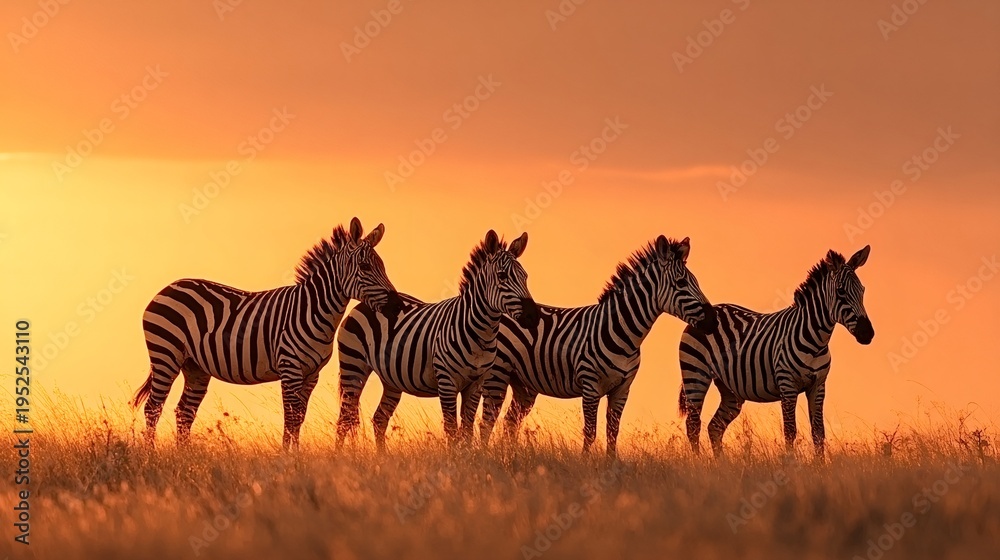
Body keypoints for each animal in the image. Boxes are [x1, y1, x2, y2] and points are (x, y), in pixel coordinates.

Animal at [131, 218, 403, 449]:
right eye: (365, 267)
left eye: (383, 266)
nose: (397, 306)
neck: (311, 310)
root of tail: (168, 287)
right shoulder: (290, 368)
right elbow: (290, 418)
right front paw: (288, 458)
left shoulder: (311, 374)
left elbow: (299, 418)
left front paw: (295, 455)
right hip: (165, 354)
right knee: (153, 408)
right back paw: (151, 455)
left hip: (195, 366)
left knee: (184, 412)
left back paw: (185, 457)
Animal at [336, 230, 540, 450]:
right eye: (502, 276)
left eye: (525, 277)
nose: (533, 317)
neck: (481, 334)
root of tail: (363, 304)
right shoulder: (447, 381)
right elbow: (451, 429)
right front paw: (454, 457)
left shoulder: (476, 384)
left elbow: (467, 429)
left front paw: (469, 457)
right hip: (353, 366)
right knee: (344, 419)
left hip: (391, 380)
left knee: (379, 419)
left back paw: (382, 457)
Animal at [479, 236, 718, 458]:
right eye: (681, 282)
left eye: (695, 281)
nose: (713, 320)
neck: (622, 332)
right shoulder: (591, 386)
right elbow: (590, 432)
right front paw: (586, 464)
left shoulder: (622, 390)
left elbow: (613, 433)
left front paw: (610, 465)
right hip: (497, 374)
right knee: (487, 422)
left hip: (524, 384)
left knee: (510, 422)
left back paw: (509, 456)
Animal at [678, 246, 874, 459]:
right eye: (841, 292)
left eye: (863, 290)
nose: (868, 333)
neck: (817, 341)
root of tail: (709, 310)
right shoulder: (787, 385)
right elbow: (790, 431)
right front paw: (790, 464)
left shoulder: (818, 386)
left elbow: (818, 432)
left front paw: (820, 465)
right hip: (695, 374)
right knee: (693, 425)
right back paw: (700, 462)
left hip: (730, 389)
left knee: (715, 427)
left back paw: (720, 464)